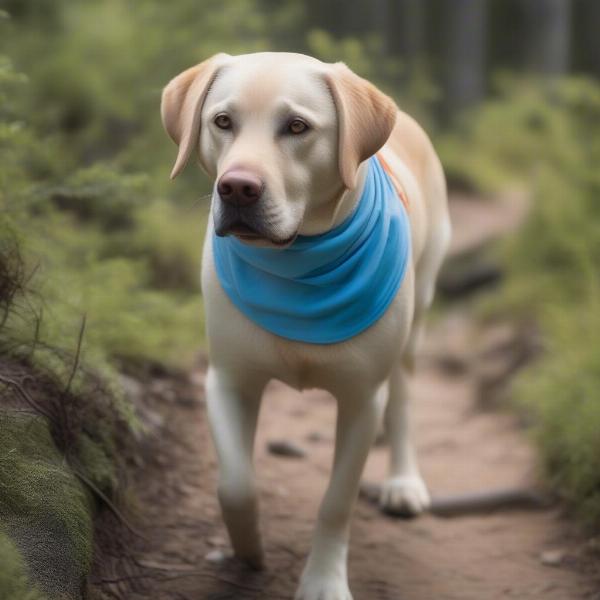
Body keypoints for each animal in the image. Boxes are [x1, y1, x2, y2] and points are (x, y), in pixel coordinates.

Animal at [162, 52, 452, 600]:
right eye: (222, 121)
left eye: (296, 127)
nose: (237, 187)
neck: (296, 266)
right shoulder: (228, 380)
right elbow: (236, 484)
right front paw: (247, 551)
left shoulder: (362, 399)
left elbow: (336, 502)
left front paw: (323, 581)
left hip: (417, 314)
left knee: (403, 399)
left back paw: (403, 483)